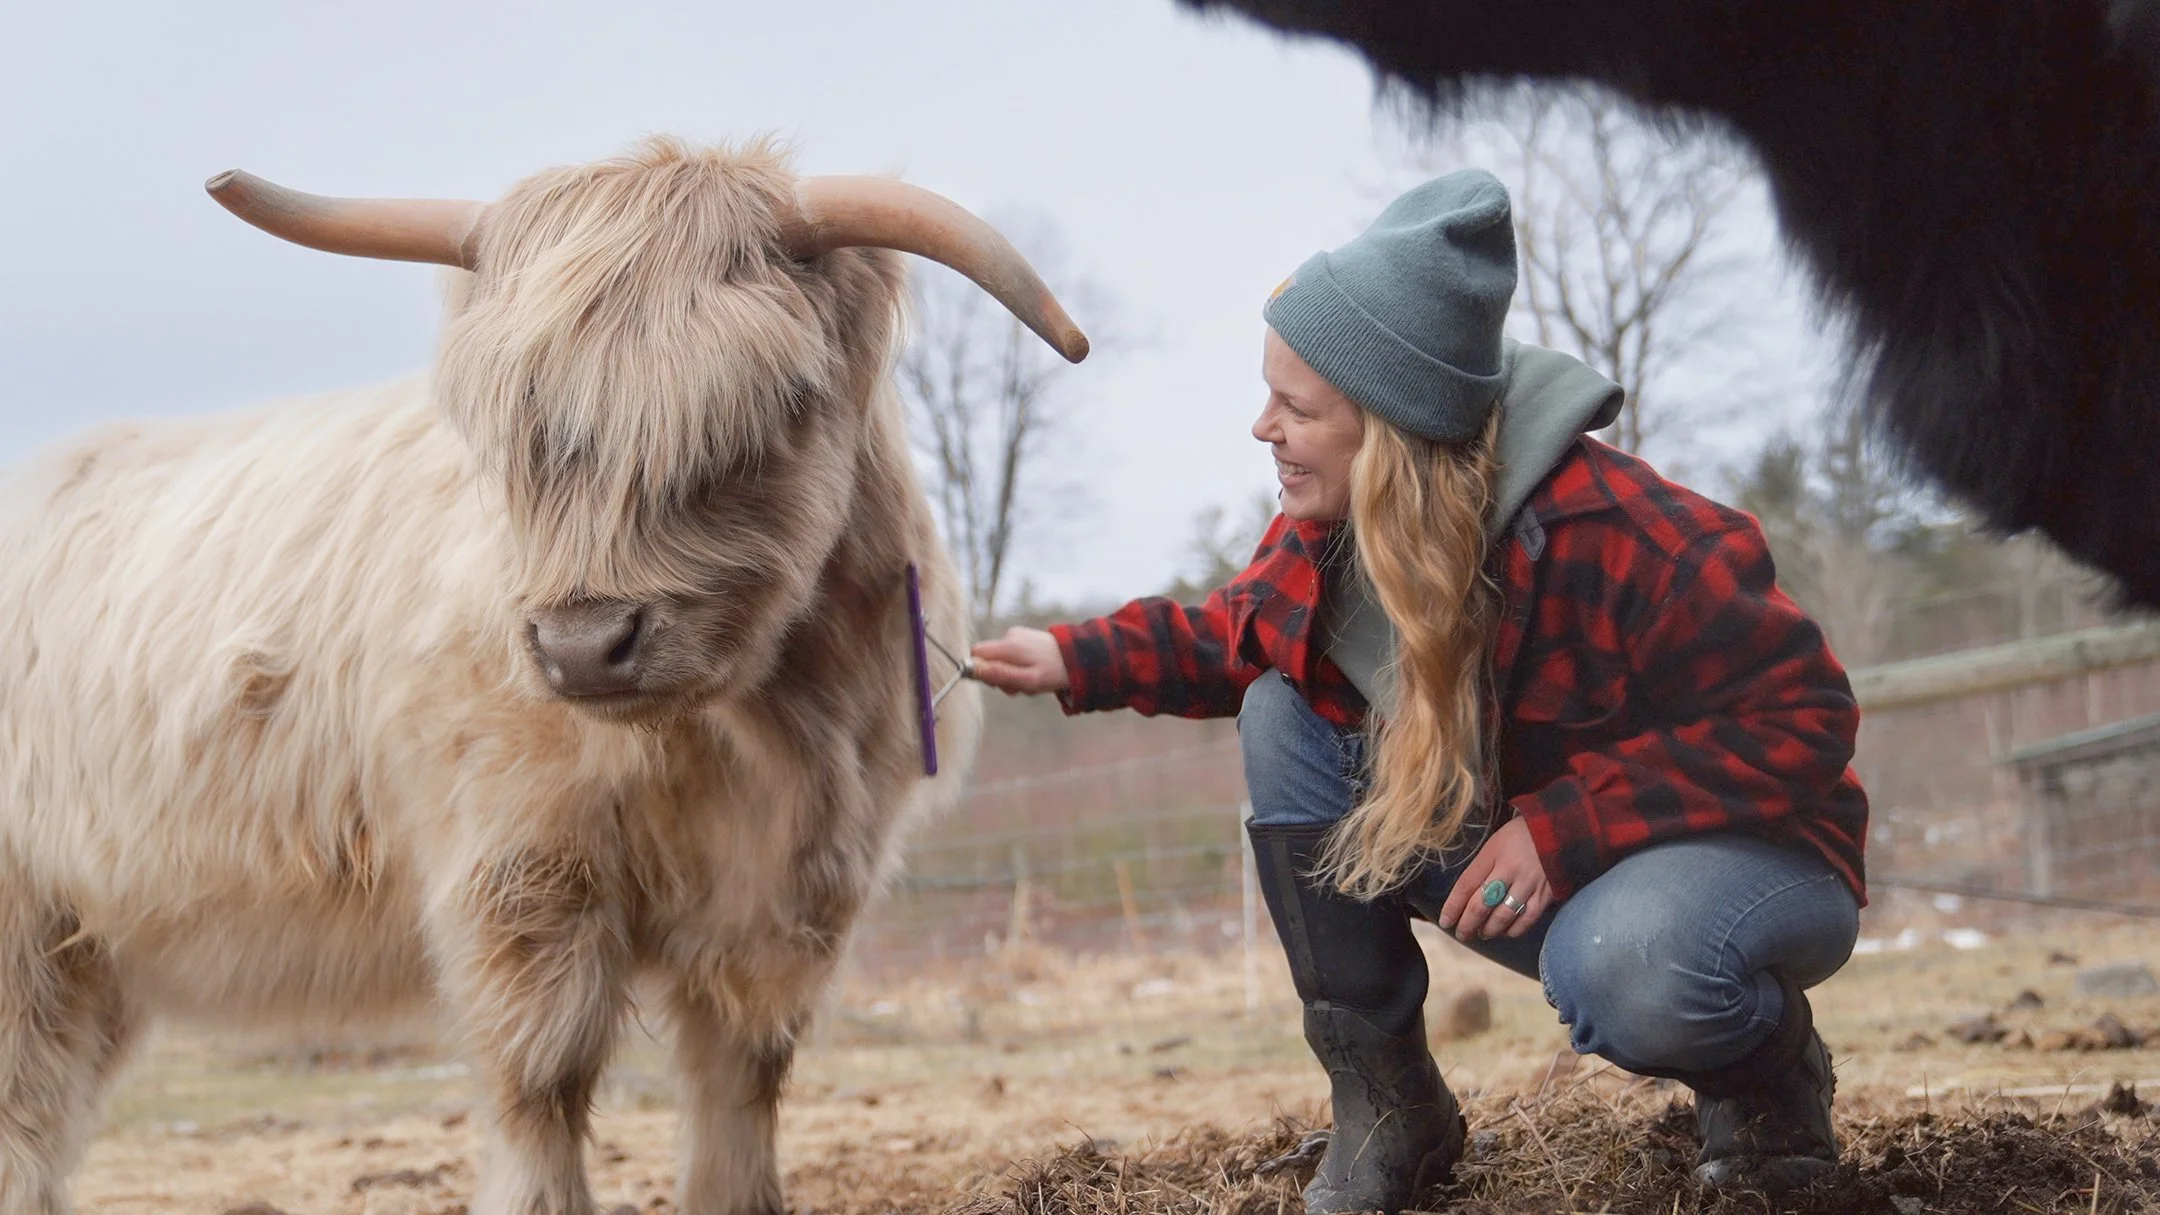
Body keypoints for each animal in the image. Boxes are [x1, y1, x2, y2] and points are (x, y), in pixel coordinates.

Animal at [0, 137, 1086, 1215]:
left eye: (775, 407)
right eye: (521, 442)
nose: (583, 644)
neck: (758, 729)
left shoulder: (796, 892)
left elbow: (744, 1077)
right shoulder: (521, 870)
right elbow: (544, 1080)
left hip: (92, 950)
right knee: (27, 1101)